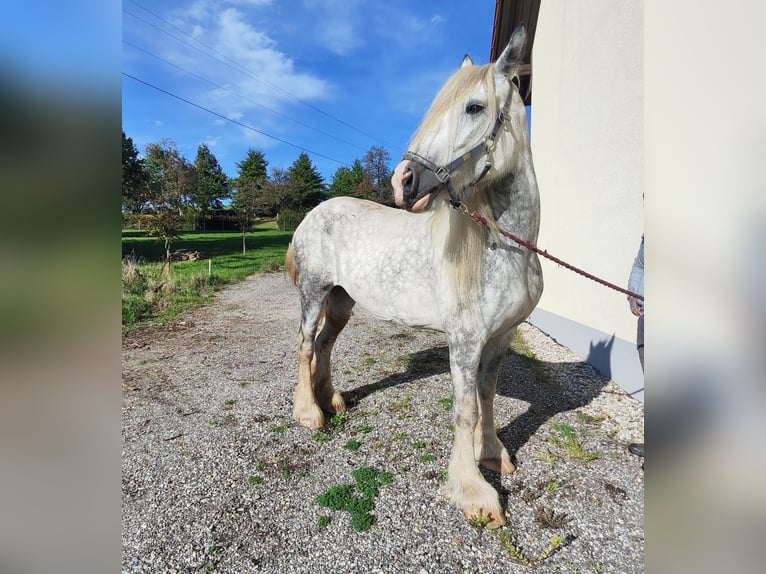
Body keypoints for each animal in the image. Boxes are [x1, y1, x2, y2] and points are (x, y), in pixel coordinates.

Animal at [284, 24, 542, 528]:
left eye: (474, 107)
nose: (402, 181)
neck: (505, 251)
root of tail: (313, 213)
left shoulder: (501, 336)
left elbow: (487, 395)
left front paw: (493, 454)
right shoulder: (465, 340)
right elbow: (465, 410)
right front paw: (473, 493)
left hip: (342, 301)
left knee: (323, 343)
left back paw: (333, 400)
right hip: (314, 292)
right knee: (305, 343)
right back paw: (310, 413)